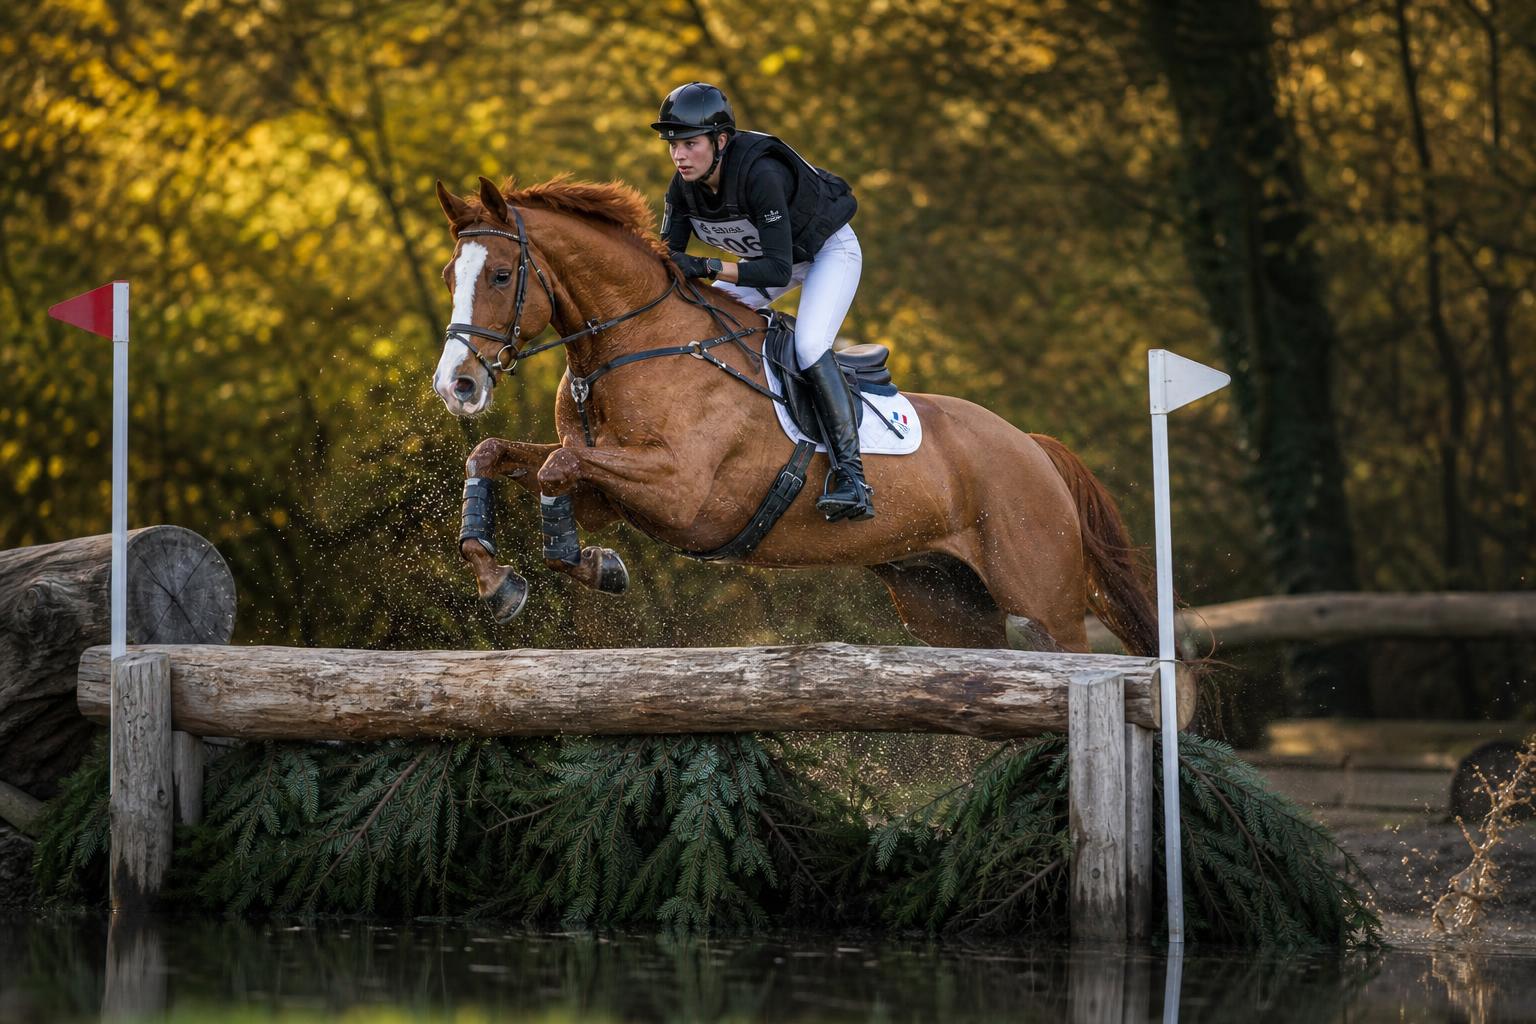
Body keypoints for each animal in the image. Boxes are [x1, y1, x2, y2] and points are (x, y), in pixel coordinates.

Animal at [431, 175, 1158, 656]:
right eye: (448, 276)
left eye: (501, 276)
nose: (455, 385)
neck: (630, 343)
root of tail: (1032, 448)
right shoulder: (608, 494)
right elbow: (498, 455)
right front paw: (502, 581)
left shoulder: (682, 491)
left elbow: (558, 464)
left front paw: (590, 566)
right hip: (945, 604)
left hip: (1045, 605)